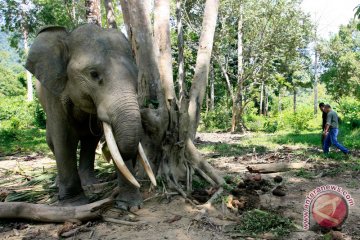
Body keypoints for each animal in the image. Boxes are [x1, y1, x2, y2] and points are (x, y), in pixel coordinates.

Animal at [25, 23, 155, 208]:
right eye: (93, 74)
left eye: (136, 75)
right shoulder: (54, 91)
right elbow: (64, 138)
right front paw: (74, 204)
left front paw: (130, 205)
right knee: (52, 140)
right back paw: (59, 184)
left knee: (89, 140)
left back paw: (89, 183)